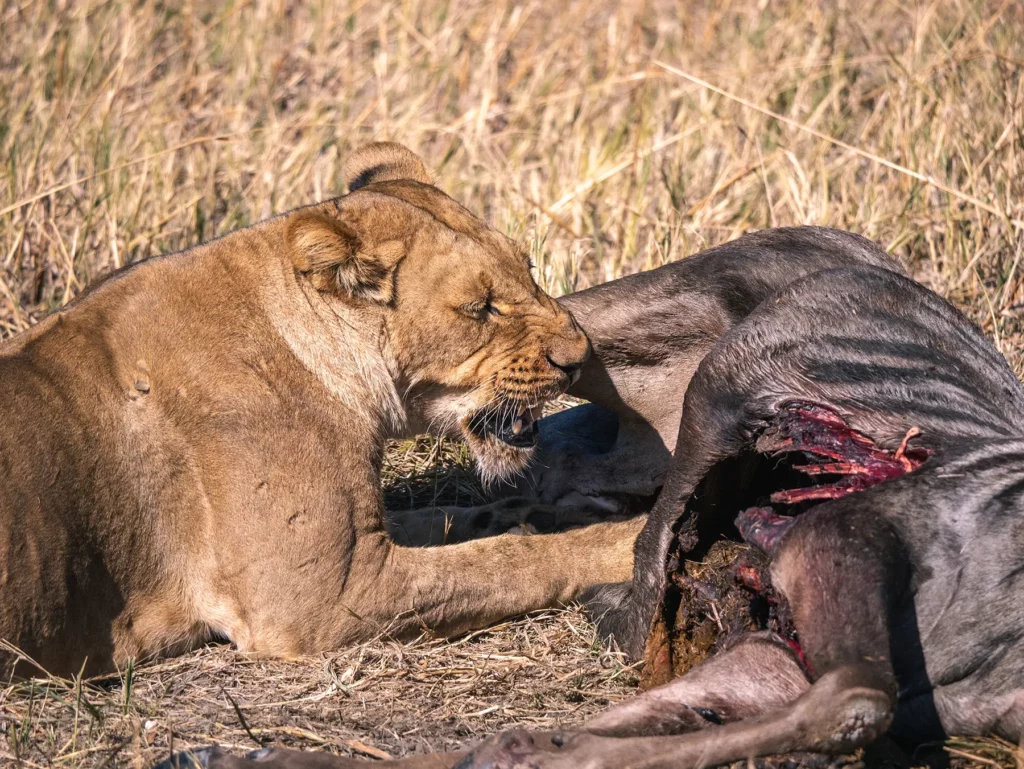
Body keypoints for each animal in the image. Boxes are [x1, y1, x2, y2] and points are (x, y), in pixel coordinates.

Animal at [0, 143, 642, 678]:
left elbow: (456, 518)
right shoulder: (319, 600)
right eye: (479, 307)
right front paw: (624, 540)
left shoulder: (362, 540)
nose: (580, 356)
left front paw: (567, 510)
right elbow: (506, 561)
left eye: (527, 270)